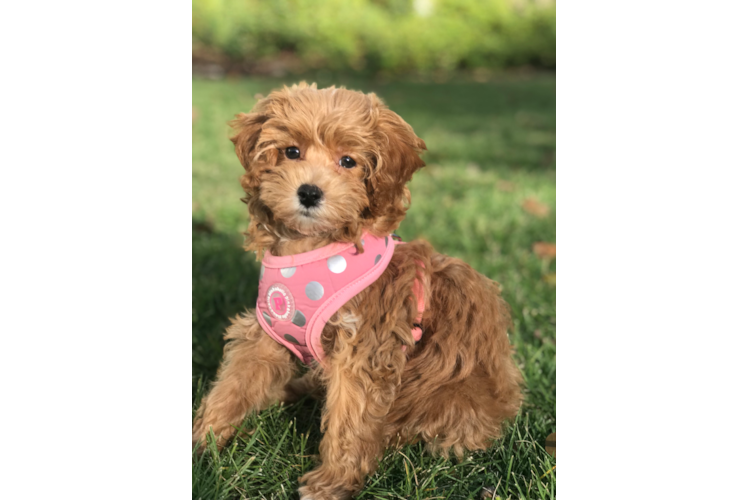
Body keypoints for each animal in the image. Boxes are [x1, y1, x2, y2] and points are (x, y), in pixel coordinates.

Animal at [190, 83, 524, 500]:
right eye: (291, 152)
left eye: (348, 161)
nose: (309, 192)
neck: (312, 248)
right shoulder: (269, 331)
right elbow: (235, 383)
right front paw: (205, 436)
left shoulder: (364, 345)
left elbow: (351, 418)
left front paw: (332, 482)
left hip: (450, 398)